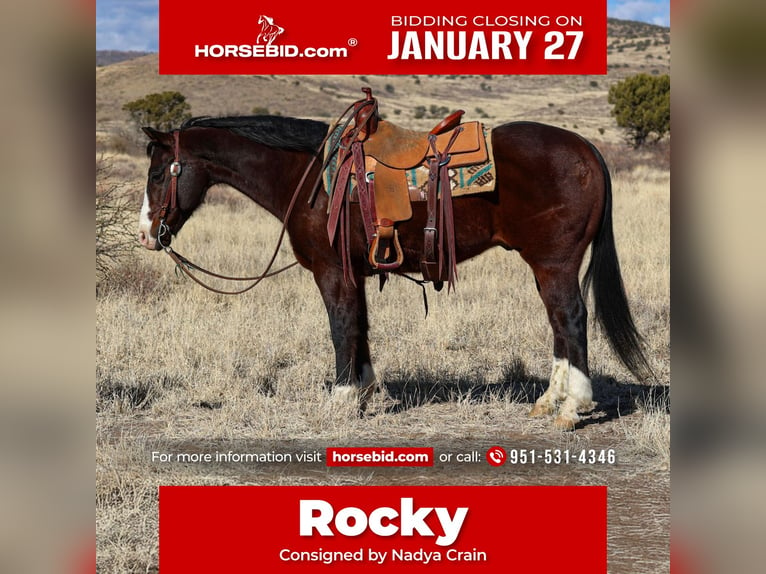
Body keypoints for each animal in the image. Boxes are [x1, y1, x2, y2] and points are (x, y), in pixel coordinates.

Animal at [136, 112, 648, 430]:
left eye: (158, 173)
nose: (146, 234)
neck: (311, 179)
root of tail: (586, 149)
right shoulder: (355, 273)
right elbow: (360, 327)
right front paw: (363, 391)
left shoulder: (332, 272)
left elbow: (341, 328)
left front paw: (342, 399)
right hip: (547, 266)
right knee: (560, 325)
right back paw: (548, 402)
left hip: (554, 262)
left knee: (571, 319)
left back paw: (573, 407)